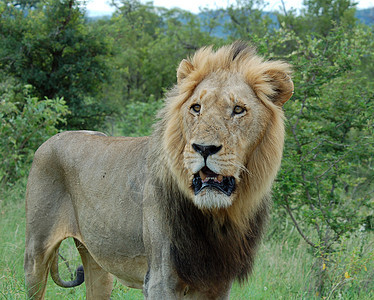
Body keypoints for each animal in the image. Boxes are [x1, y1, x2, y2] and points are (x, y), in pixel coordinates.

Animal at [24, 41, 292, 298]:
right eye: (196, 108)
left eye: (238, 110)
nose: (204, 148)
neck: (216, 217)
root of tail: (50, 140)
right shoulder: (160, 280)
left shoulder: (217, 283)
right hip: (35, 253)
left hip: (97, 262)